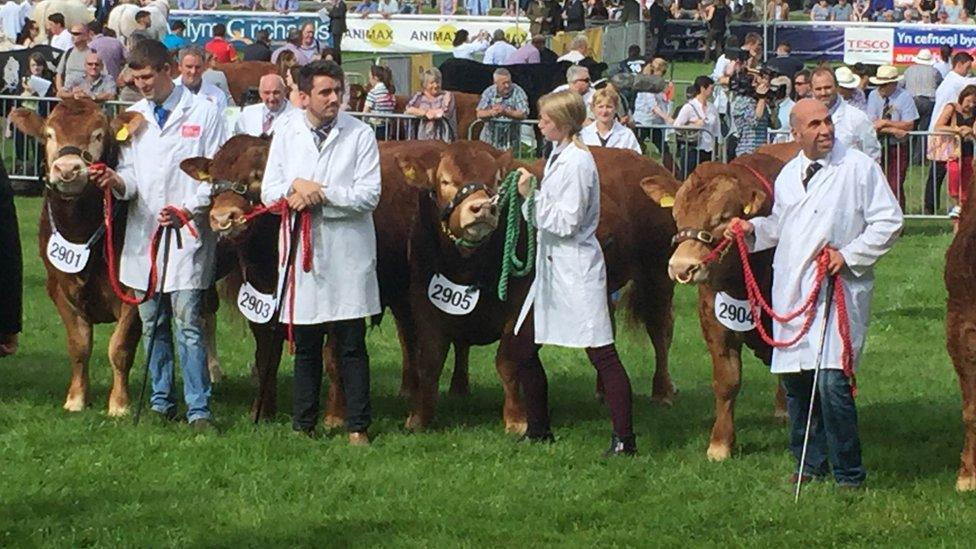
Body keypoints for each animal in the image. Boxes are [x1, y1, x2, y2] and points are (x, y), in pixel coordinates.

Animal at [9, 99, 145, 416]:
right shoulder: (59, 288)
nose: (68, 168)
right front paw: (76, 399)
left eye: (98, 134)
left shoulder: (136, 290)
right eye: (49, 134)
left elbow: (120, 347)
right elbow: (79, 345)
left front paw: (119, 404)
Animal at [396, 143, 680, 434]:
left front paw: (516, 419)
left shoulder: (525, 307)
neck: (469, 266)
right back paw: (603, 391)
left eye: (497, 182)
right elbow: (429, 361)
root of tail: (649, 163)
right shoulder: (422, 300)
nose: (482, 208)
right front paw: (419, 418)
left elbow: (507, 360)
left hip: (658, 273)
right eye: (445, 181)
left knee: (660, 329)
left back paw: (662, 391)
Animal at [640, 149, 792, 458]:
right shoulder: (713, 318)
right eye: (676, 215)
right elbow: (727, 380)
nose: (682, 267)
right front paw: (720, 444)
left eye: (723, 218)